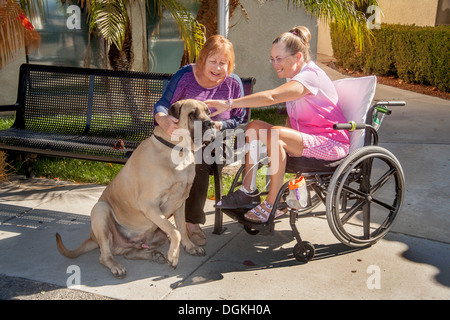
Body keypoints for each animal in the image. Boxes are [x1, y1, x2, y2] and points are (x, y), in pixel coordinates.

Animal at [55, 100, 214, 278]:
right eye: (192, 114)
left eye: (208, 112)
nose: (211, 123)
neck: (177, 150)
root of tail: (92, 238)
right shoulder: (149, 205)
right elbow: (175, 231)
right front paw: (173, 255)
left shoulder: (180, 202)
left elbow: (182, 228)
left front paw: (190, 247)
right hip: (100, 210)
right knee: (105, 255)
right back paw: (116, 266)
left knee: (129, 252)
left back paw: (153, 254)